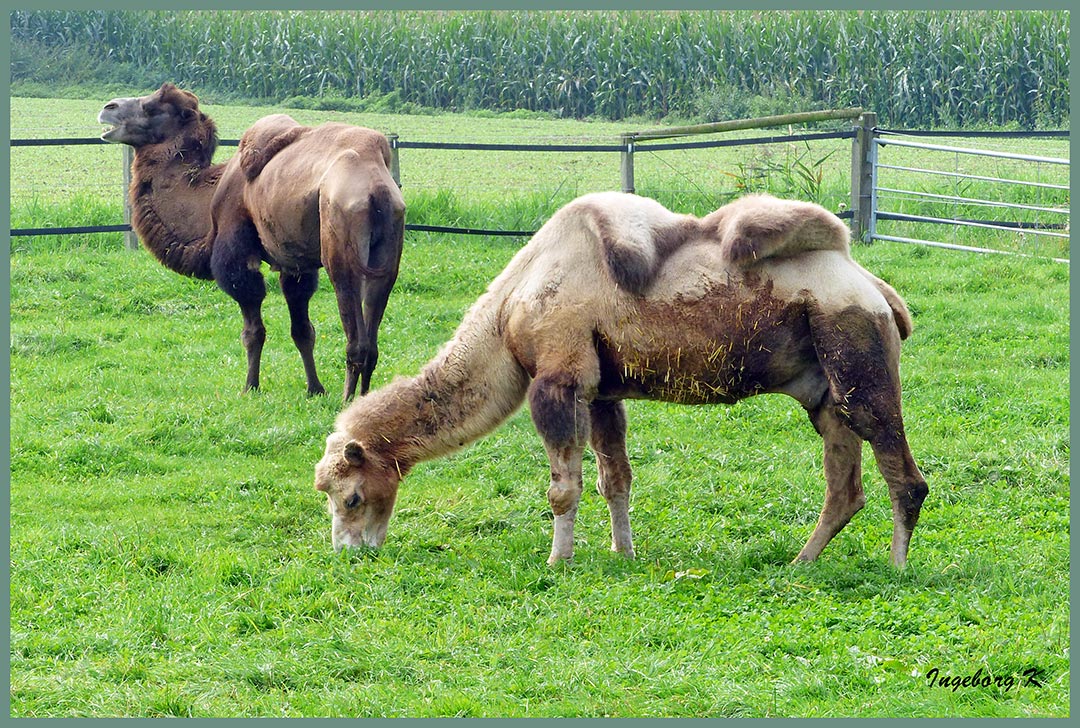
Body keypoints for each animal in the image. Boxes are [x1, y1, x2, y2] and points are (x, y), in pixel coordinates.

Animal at [98, 86, 406, 401]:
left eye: (153, 106)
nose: (108, 107)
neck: (209, 195)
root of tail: (375, 186)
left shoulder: (236, 254)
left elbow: (252, 330)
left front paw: (250, 386)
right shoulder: (295, 264)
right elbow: (302, 330)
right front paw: (314, 388)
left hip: (341, 241)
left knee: (355, 335)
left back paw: (348, 400)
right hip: (390, 242)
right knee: (373, 335)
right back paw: (367, 398)